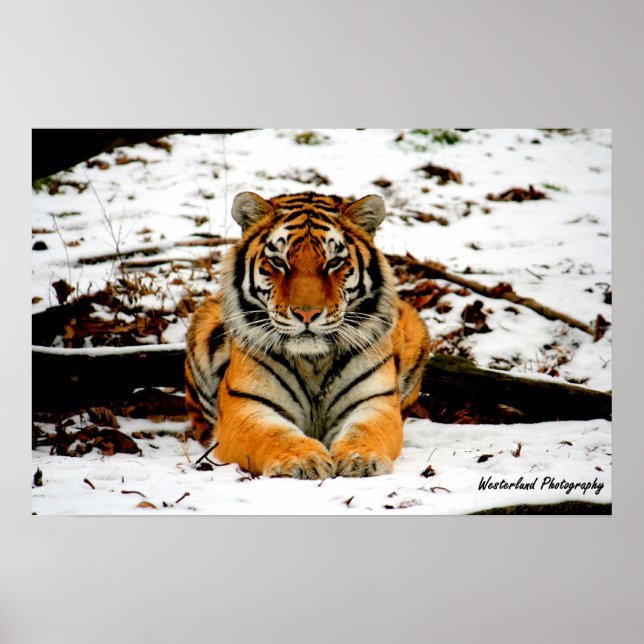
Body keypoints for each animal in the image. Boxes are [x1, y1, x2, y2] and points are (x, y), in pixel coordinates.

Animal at [184, 191, 430, 479]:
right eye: (279, 261)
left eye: (334, 262)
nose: (307, 314)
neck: (313, 362)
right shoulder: (245, 405)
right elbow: (274, 433)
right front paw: (302, 460)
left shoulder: (376, 402)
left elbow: (364, 430)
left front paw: (361, 459)